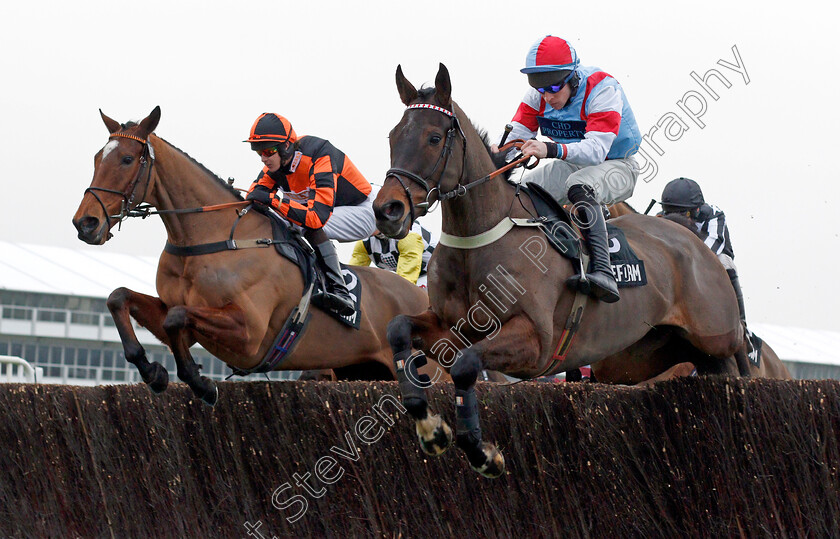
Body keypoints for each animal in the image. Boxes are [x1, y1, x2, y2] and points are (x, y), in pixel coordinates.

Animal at [74, 107, 434, 408]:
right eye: (96, 158)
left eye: (127, 159)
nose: (85, 223)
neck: (210, 238)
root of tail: (427, 301)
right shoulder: (187, 322)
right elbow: (121, 299)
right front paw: (154, 372)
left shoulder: (249, 333)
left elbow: (175, 317)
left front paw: (201, 383)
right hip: (359, 369)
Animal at [374, 65, 748, 478]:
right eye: (393, 135)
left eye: (434, 137)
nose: (387, 210)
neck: (480, 241)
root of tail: (698, 244)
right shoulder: (448, 328)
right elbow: (399, 330)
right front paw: (431, 429)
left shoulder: (535, 341)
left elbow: (466, 365)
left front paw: (481, 451)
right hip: (633, 359)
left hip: (716, 340)